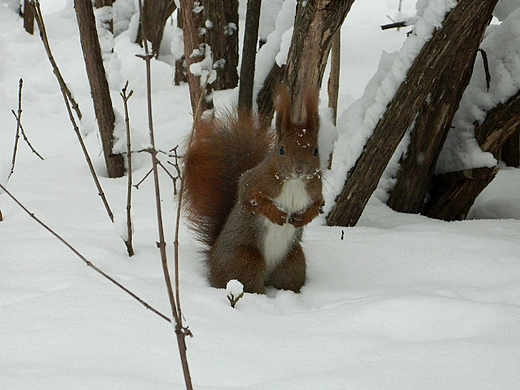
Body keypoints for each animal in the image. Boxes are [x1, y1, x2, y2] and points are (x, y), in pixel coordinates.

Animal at [182, 85, 320, 292]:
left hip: (293, 263)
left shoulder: (316, 190)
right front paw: (275, 214)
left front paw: (304, 217)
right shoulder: (253, 181)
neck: (294, 182)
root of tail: (212, 259)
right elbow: (249, 197)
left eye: (315, 151)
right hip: (246, 262)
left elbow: (317, 206)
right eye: (281, 149)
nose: (299, 169)